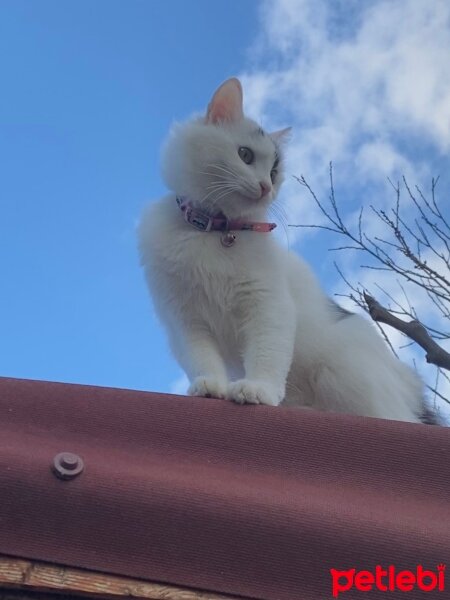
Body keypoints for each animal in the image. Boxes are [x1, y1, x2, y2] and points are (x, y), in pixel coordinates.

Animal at [139, 77, 434, 424]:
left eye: (274, 172)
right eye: (245, 155)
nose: (266, 187)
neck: (217, 233)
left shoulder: (269, 305)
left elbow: (267, 355)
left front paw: (259, 390)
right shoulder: (184, 320)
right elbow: (202, 357)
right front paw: (210, 386)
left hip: (347, 374)